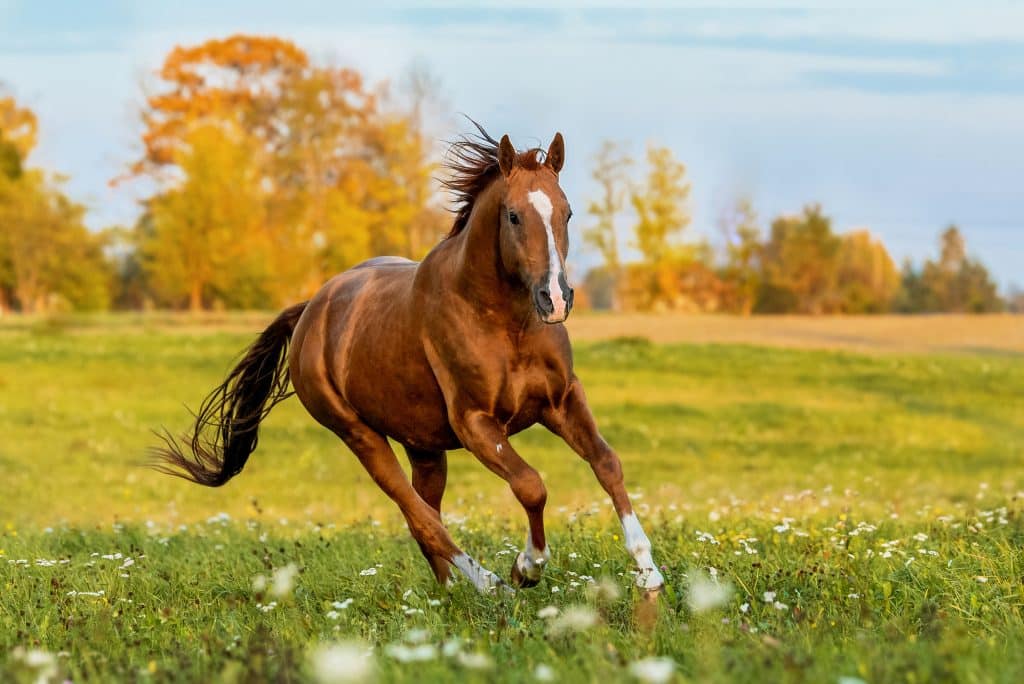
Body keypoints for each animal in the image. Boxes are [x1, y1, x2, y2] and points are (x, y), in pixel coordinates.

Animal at [151, 122, 663, 593]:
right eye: (514, 215)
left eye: (567, 212)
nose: (555, 299)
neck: (505, 323)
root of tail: (311, 309)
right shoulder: (476, 423)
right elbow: (530, 485)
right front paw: (527, 567)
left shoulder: (561, 401)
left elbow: (607, 463)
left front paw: (648, 572)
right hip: (361, 436)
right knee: (421, 517)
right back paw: (489, 585)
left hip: (424, 446)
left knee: (425, 512)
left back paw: (450, 591)